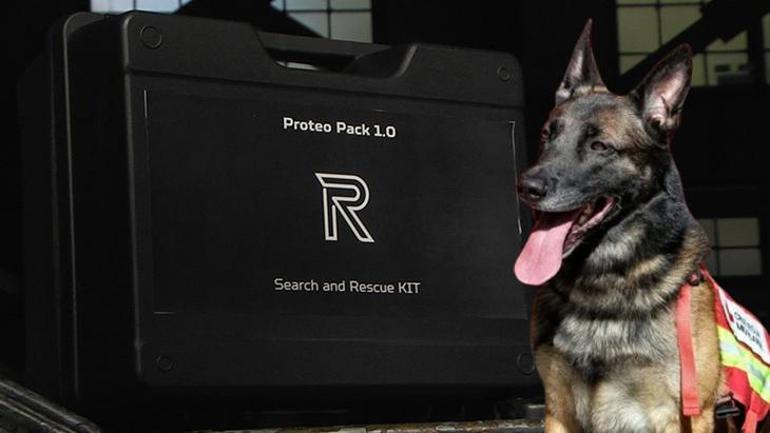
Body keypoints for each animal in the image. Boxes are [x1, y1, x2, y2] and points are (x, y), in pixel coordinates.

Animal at [512, 21, 768, 433]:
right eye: (547, 135)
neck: (603, 286)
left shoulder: (680, 414)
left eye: (600, 146)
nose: (527, 187)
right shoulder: (558, 410)